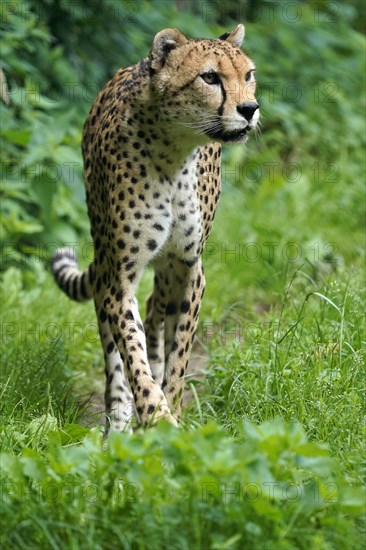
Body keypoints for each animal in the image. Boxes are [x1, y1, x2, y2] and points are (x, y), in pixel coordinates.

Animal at [51, 23, 258, 434]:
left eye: (248, 75)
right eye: (209, 78)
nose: (250, 109)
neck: (174, 153)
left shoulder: (189, 266)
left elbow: (178, 353)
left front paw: (171, 409)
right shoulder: (120, 275)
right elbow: (131, 349)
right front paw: (154, 415)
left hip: (165, 268)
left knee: (155, 308)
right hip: (106, 257)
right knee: (114, 342)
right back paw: (118, 417)